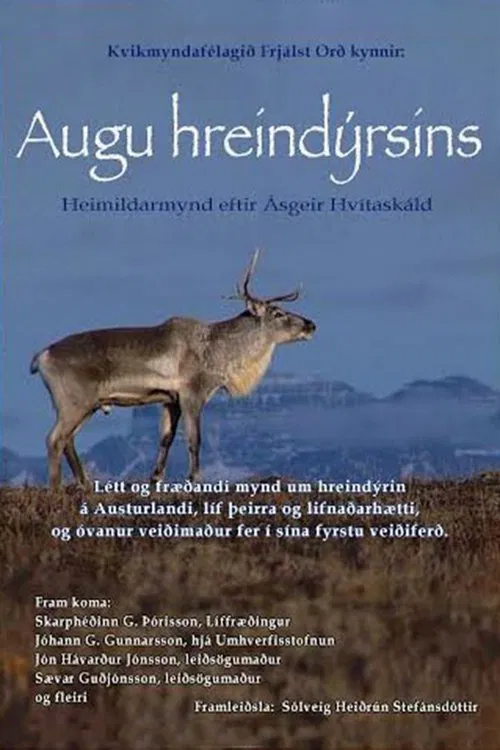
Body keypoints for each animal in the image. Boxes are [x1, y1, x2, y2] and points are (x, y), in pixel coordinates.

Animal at [30, 250, 316, 491]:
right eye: (277, 312)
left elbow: (166, 438)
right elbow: (194, 440)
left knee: (68, 440)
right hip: (74, 402)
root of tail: (40, 357)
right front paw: (194, 480)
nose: (311, 325)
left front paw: (155, 479)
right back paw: (55, 490)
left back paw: (85, 484)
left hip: (85, 405)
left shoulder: (170, 400)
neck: (218, 352)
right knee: (54, 439)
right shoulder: (192, 395)